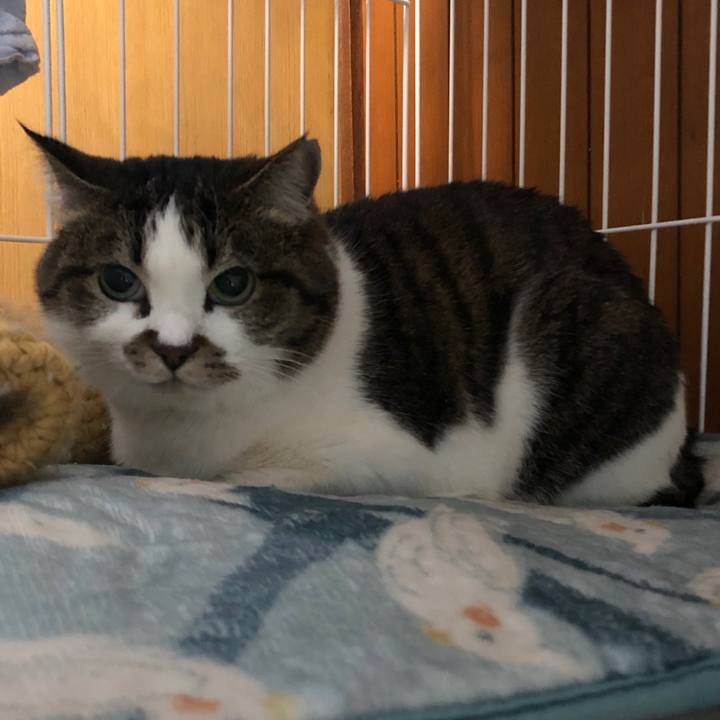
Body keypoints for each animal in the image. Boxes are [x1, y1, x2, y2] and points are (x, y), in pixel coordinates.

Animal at [24, 125, 711, 506]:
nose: (172, 347)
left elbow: (251, 475)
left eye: (233, 284)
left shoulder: (389, 455)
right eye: (118, 280)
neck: (180, 434)